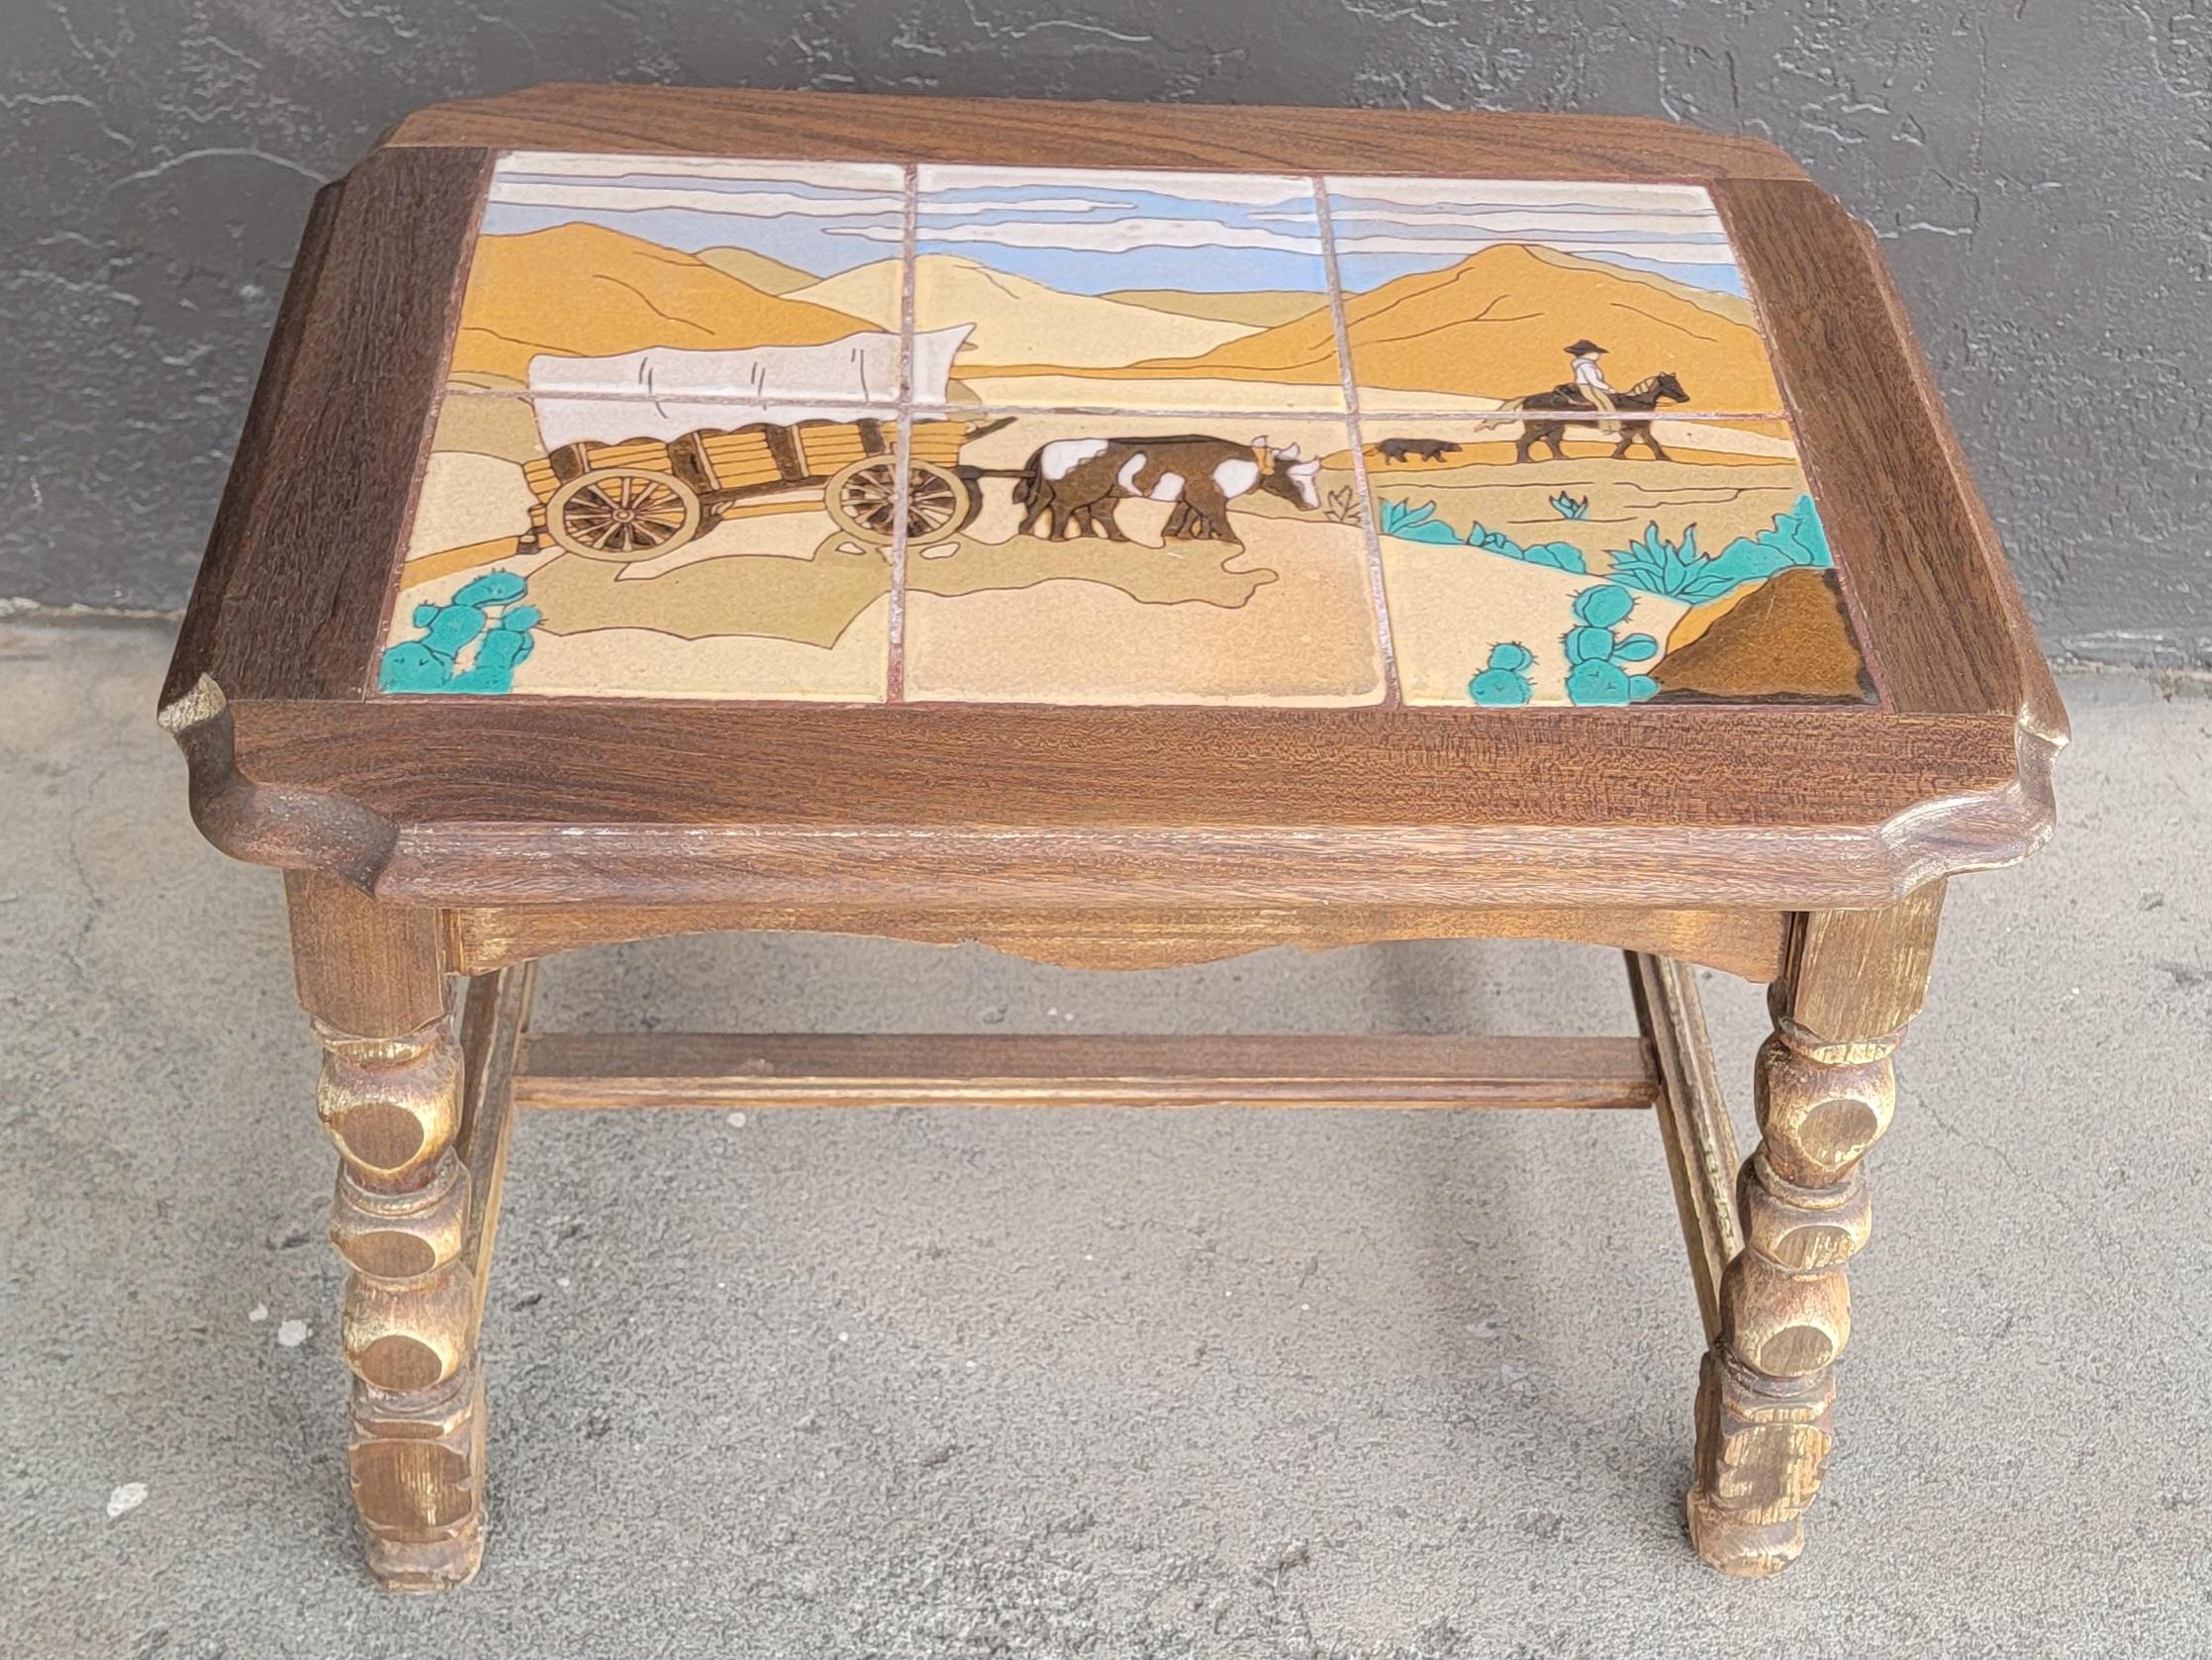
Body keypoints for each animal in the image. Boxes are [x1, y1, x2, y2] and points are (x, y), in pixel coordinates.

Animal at [1503, 371, 1689, 462]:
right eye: (1670, 384)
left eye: (1677, 383)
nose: (1685, 398)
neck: (1636, 402)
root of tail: (1527, 398)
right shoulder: (1640, 428)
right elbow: (1652, 442)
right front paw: (1664, 458)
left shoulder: (1632, 429)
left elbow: (1629, 442)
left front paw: (1618, 455)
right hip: (1540, 426)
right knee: (1524, 441)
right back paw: (1526, 461)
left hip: (1556, 427)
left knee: (1551, 441)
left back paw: (1560, 458)